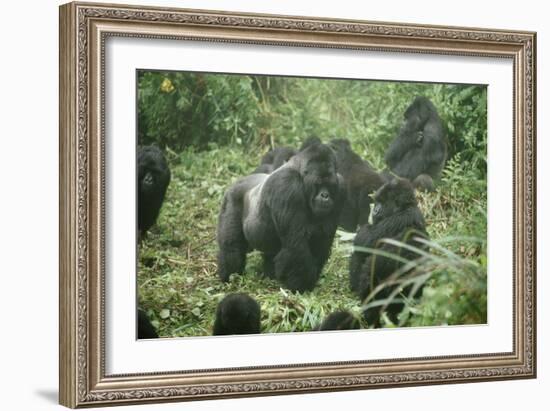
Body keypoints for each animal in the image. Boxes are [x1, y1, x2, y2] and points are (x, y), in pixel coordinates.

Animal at [217, 142, 342, 292]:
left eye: (330, 185)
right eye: (318, 184)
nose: (325, 196)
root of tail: (240, 180)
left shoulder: (340, 188)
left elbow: (321, 242)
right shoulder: (286, 185)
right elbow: (295, 244)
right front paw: (301, 285)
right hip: (231, 197)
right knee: (231, 247)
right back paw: (230, 277)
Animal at [350, 179, 432, 326]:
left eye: (382, 202)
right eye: (376, 201)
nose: (375, 210)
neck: (406, 207)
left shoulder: (395, 220)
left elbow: (364, 239)